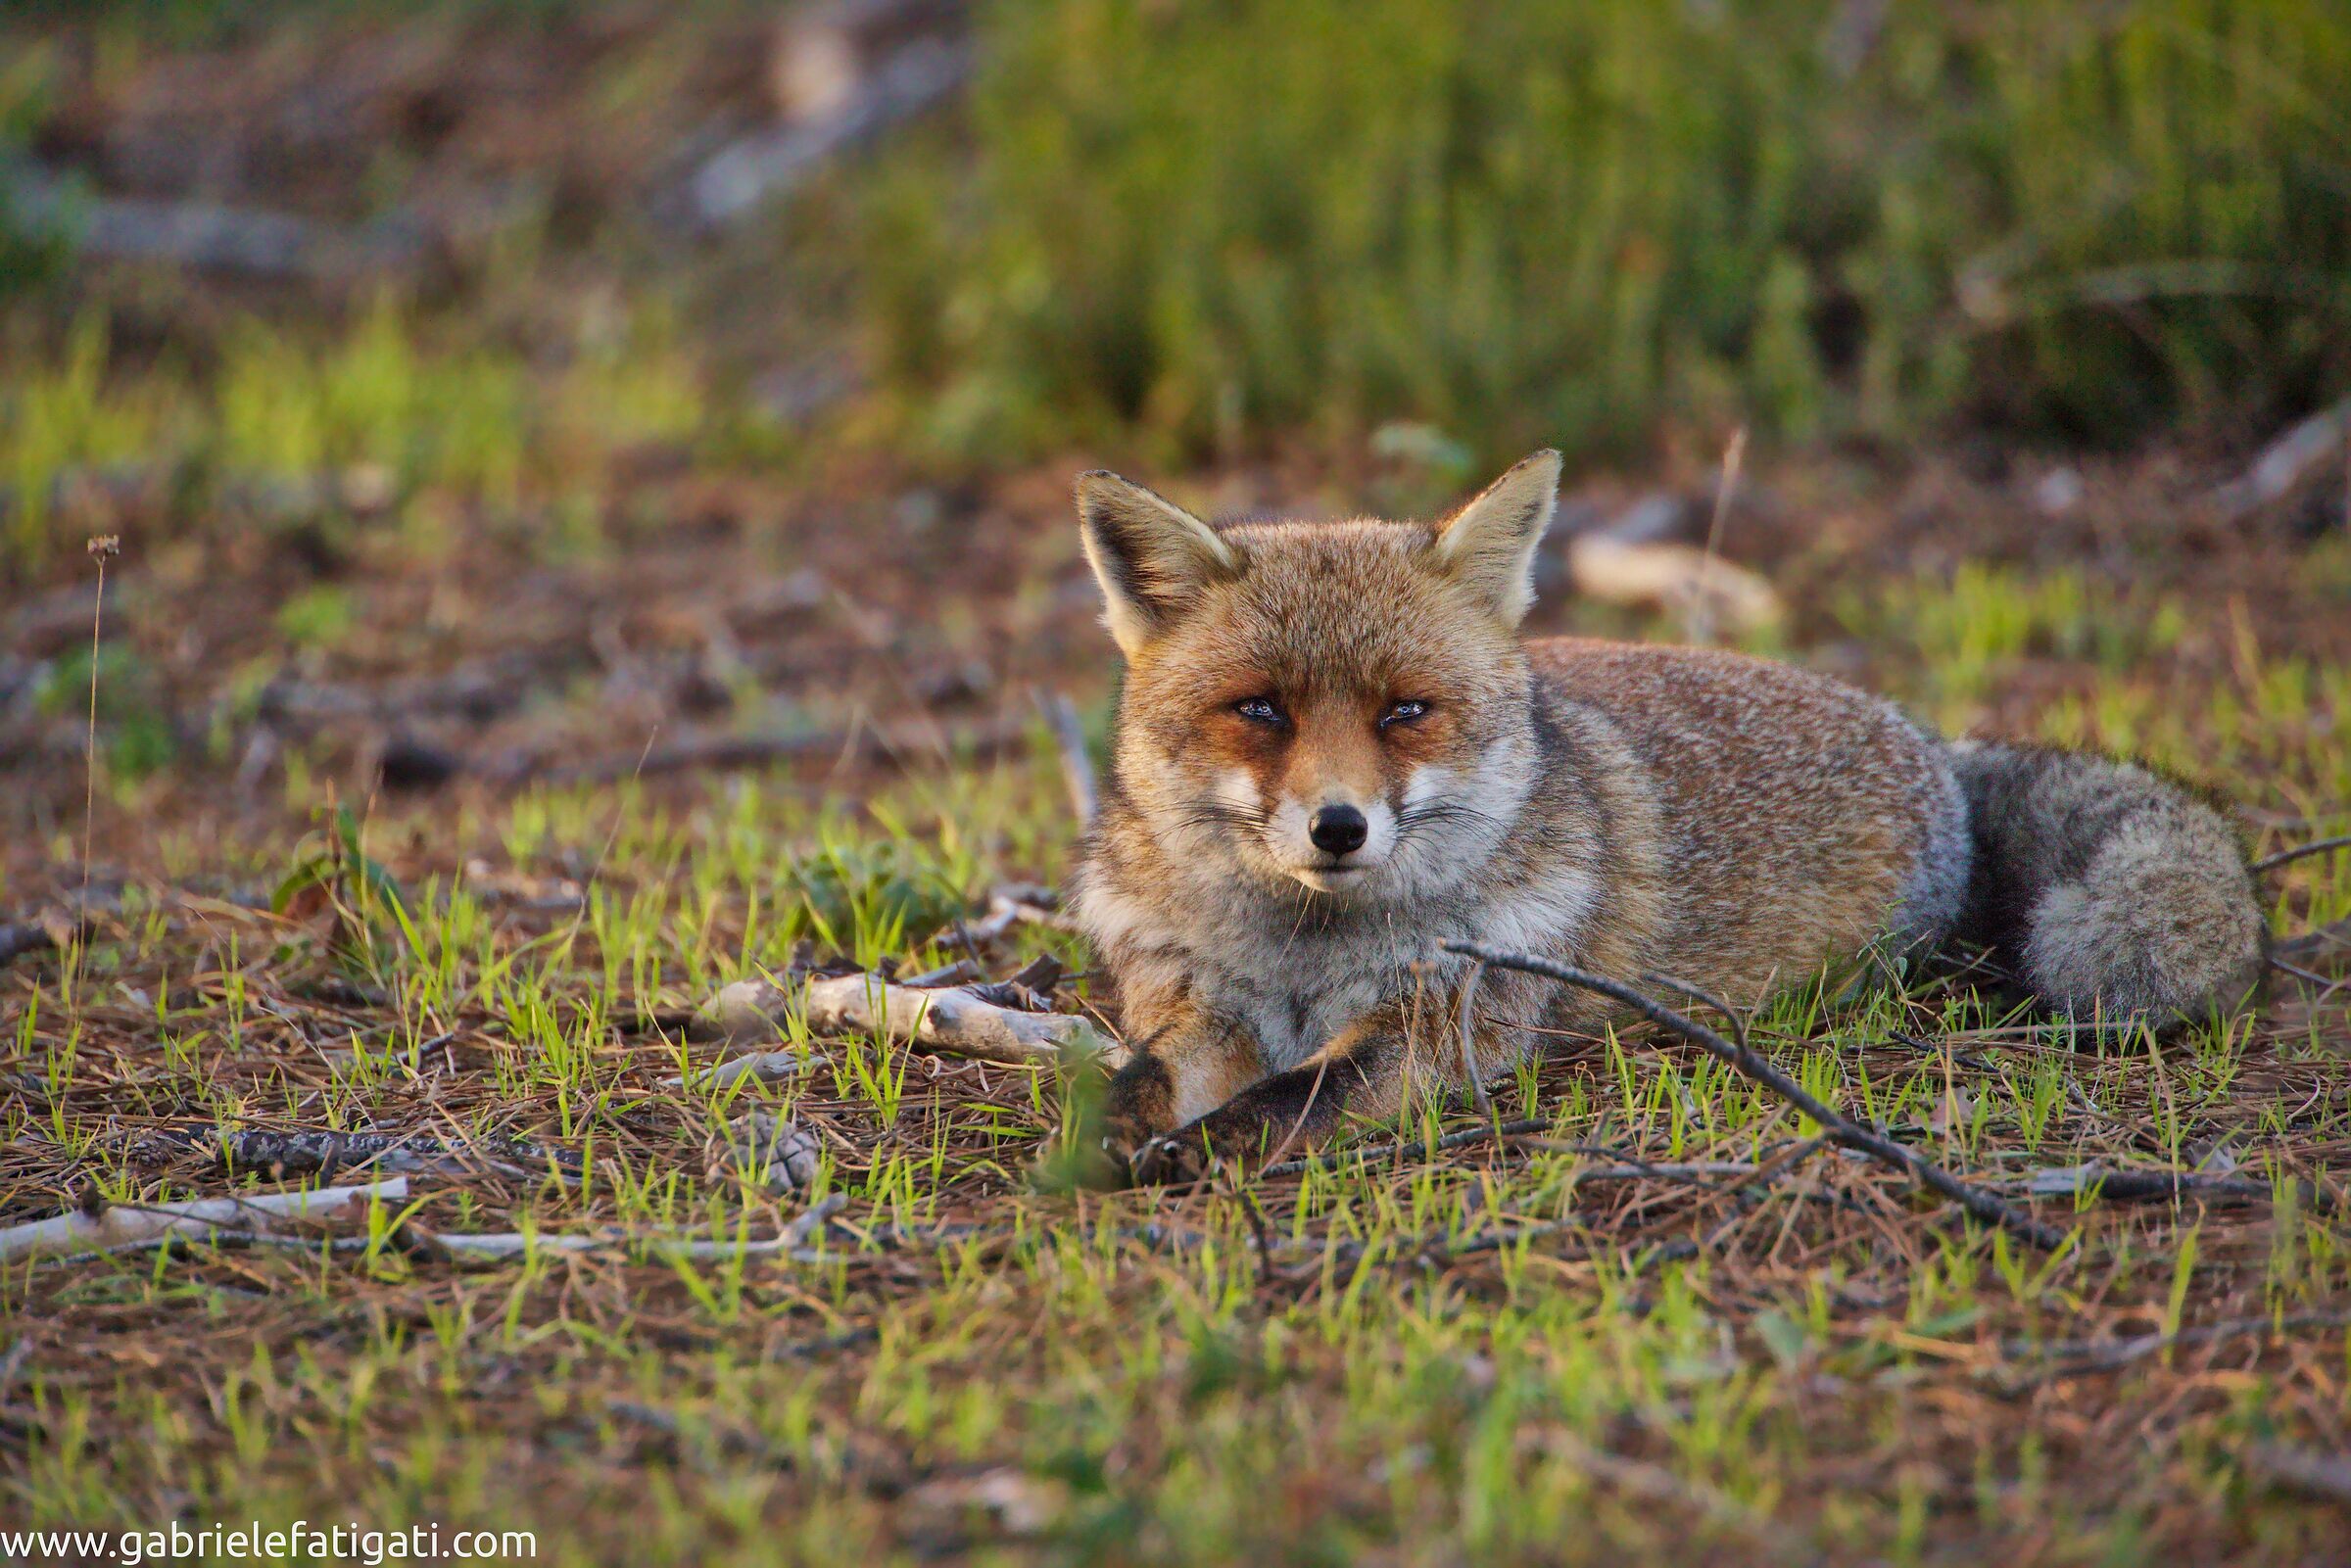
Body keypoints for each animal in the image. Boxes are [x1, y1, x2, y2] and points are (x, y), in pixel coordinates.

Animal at [1067, 450, 2267, 1183]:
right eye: (1261, 710)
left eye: (1403, 711)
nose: (1338, 827)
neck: (1304, 955)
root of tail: (1928, 736)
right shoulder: (1197, 1001)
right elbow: (1141, 1078)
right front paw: (1101, 1142)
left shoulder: (1445, 1027)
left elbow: (1291, 1099)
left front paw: (1190, 1153)